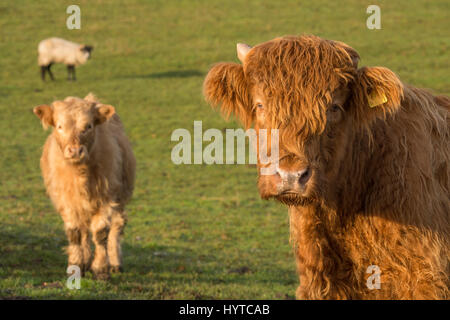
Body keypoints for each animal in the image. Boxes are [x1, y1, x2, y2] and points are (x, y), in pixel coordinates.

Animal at [33, 94, 135, 278]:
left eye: (88, 126)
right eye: (59, 126)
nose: (75, 151)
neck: (81, 175)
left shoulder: (107, 197)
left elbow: (101, 232)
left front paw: (101, 268)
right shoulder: (66, 200)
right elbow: (75, 233)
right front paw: (76, 264)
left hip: (120, 197)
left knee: (117, 226)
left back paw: (115, 262)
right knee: (85, 230)